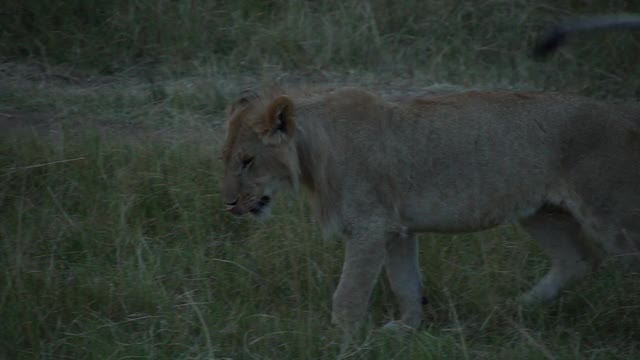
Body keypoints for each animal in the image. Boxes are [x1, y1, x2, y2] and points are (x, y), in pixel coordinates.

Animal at [219, 86, 640, 336]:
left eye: (247, 161)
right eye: (226, 160)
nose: (228, 203)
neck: (314, 150)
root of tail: (626, 115)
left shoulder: (370, 226)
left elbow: (349, 293)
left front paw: (342, 340)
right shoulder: (396, 230)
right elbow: (406, 284)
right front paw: (405, 331)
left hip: (610, 212)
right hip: (542, 213)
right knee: (578, 259)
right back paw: (514, 310)